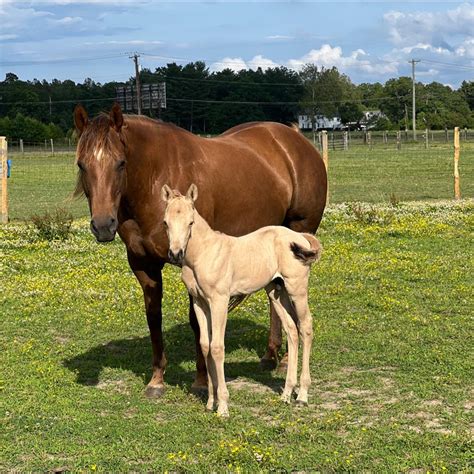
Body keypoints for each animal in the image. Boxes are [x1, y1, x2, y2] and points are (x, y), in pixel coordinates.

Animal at [163, 183, 322, 416]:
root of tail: (300, 236)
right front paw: (210, 402)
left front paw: (223, 407)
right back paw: (286, 394)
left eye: (190, 222)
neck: (203, 253)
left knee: (306, 327)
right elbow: (205, 345)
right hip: (276, 291)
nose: (175, 254)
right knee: (292, 330)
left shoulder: (219, 301)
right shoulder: (200, 303)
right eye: (165, 222)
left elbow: (217, 347)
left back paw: (302, 395)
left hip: (296, 288)